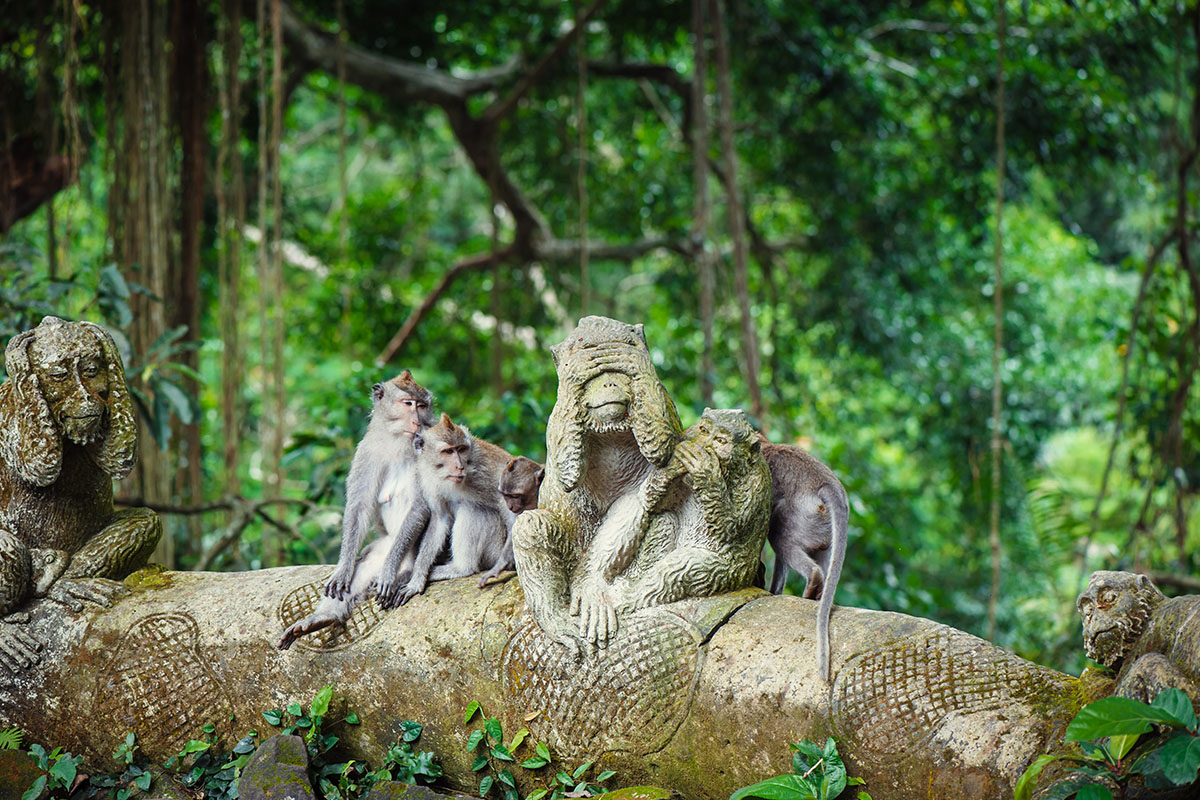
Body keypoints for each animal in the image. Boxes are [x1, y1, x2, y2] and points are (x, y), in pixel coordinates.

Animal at [277, 371, 436, 652]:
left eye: (422, 405)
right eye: (408, 404)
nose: (417, 420)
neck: (398, 442)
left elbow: (420, 506)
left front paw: (388, 572)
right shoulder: (366, 450)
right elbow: (358, 507)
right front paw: (343, 569)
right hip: (383, 545)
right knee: (365, 565)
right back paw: (323, 617)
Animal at [388, 412, 511, 606]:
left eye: (461, 449)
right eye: (448, 451)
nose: (460, 466)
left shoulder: (487, 471)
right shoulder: (427, 478)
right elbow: (440, 518)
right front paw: (417, 579)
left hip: (496, 549)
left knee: (473, 509)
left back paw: (462, 568)